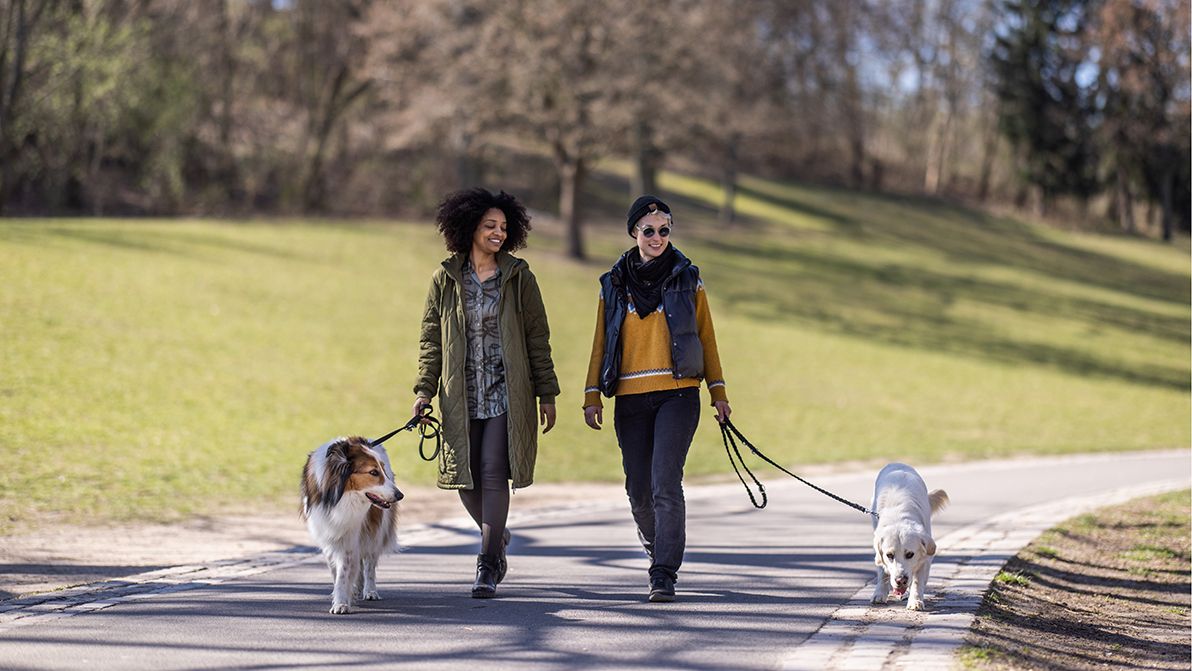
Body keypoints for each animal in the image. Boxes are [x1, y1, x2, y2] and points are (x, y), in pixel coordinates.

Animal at [300, 436, 402, 614]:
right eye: (373, 472)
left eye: (382, 471)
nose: (400, 495)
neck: (342, 497)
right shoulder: (327, 534)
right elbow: (335, 570)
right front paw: (342, 596)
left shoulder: (351, 535)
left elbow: (344, 572)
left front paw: (340, 602)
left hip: (375, 531)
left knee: (369, 564)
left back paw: (370, 590)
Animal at [872, 464, 944, 610]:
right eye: (889, 555)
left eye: (910, 554)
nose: (900, 580)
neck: (899, 517)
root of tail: (897, 463)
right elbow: (881, 571)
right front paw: (880, 593)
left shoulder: (926, 557)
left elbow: (917, 581)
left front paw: (915, 600)